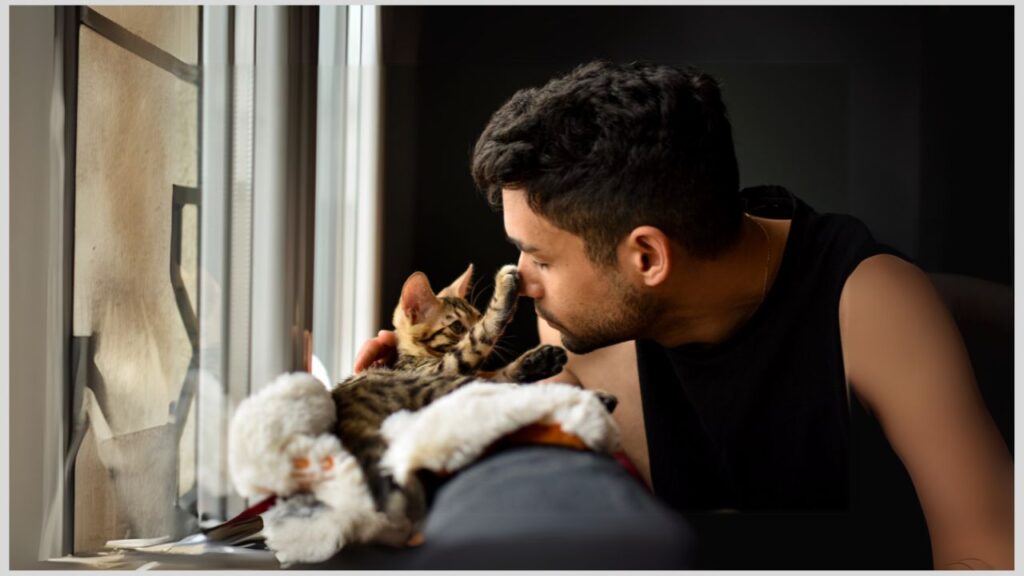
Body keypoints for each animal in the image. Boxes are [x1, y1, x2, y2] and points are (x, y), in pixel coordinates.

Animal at [329, 264, 565, 524]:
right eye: (457, 327)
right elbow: (480, 338)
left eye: (476, 316)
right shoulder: (448, 367)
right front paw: (504, 289)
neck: (413, 356)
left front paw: (538, 360)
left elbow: (499, 369)